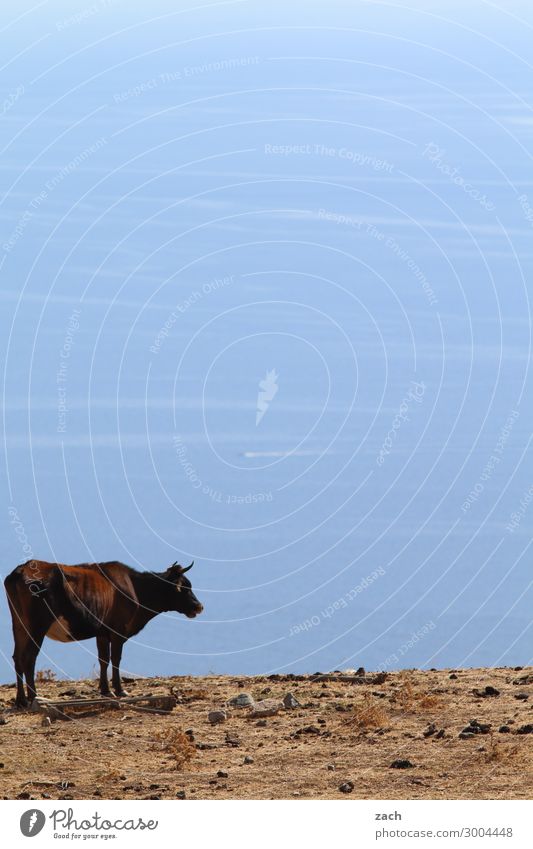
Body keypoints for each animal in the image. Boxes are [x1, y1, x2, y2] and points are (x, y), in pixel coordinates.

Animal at [3, 560, 204, 704]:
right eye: (184, 587)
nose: (199, 606)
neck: (136, 588)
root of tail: (21, 569)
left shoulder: (102, 632)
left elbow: (103, 659)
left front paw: (105, 690)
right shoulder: (118, 631)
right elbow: (115, 659)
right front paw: (120, 690)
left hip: (18, 624)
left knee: (17, 657)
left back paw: (20, 700)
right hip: (37, 626)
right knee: (28, 658)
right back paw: (33, 696)